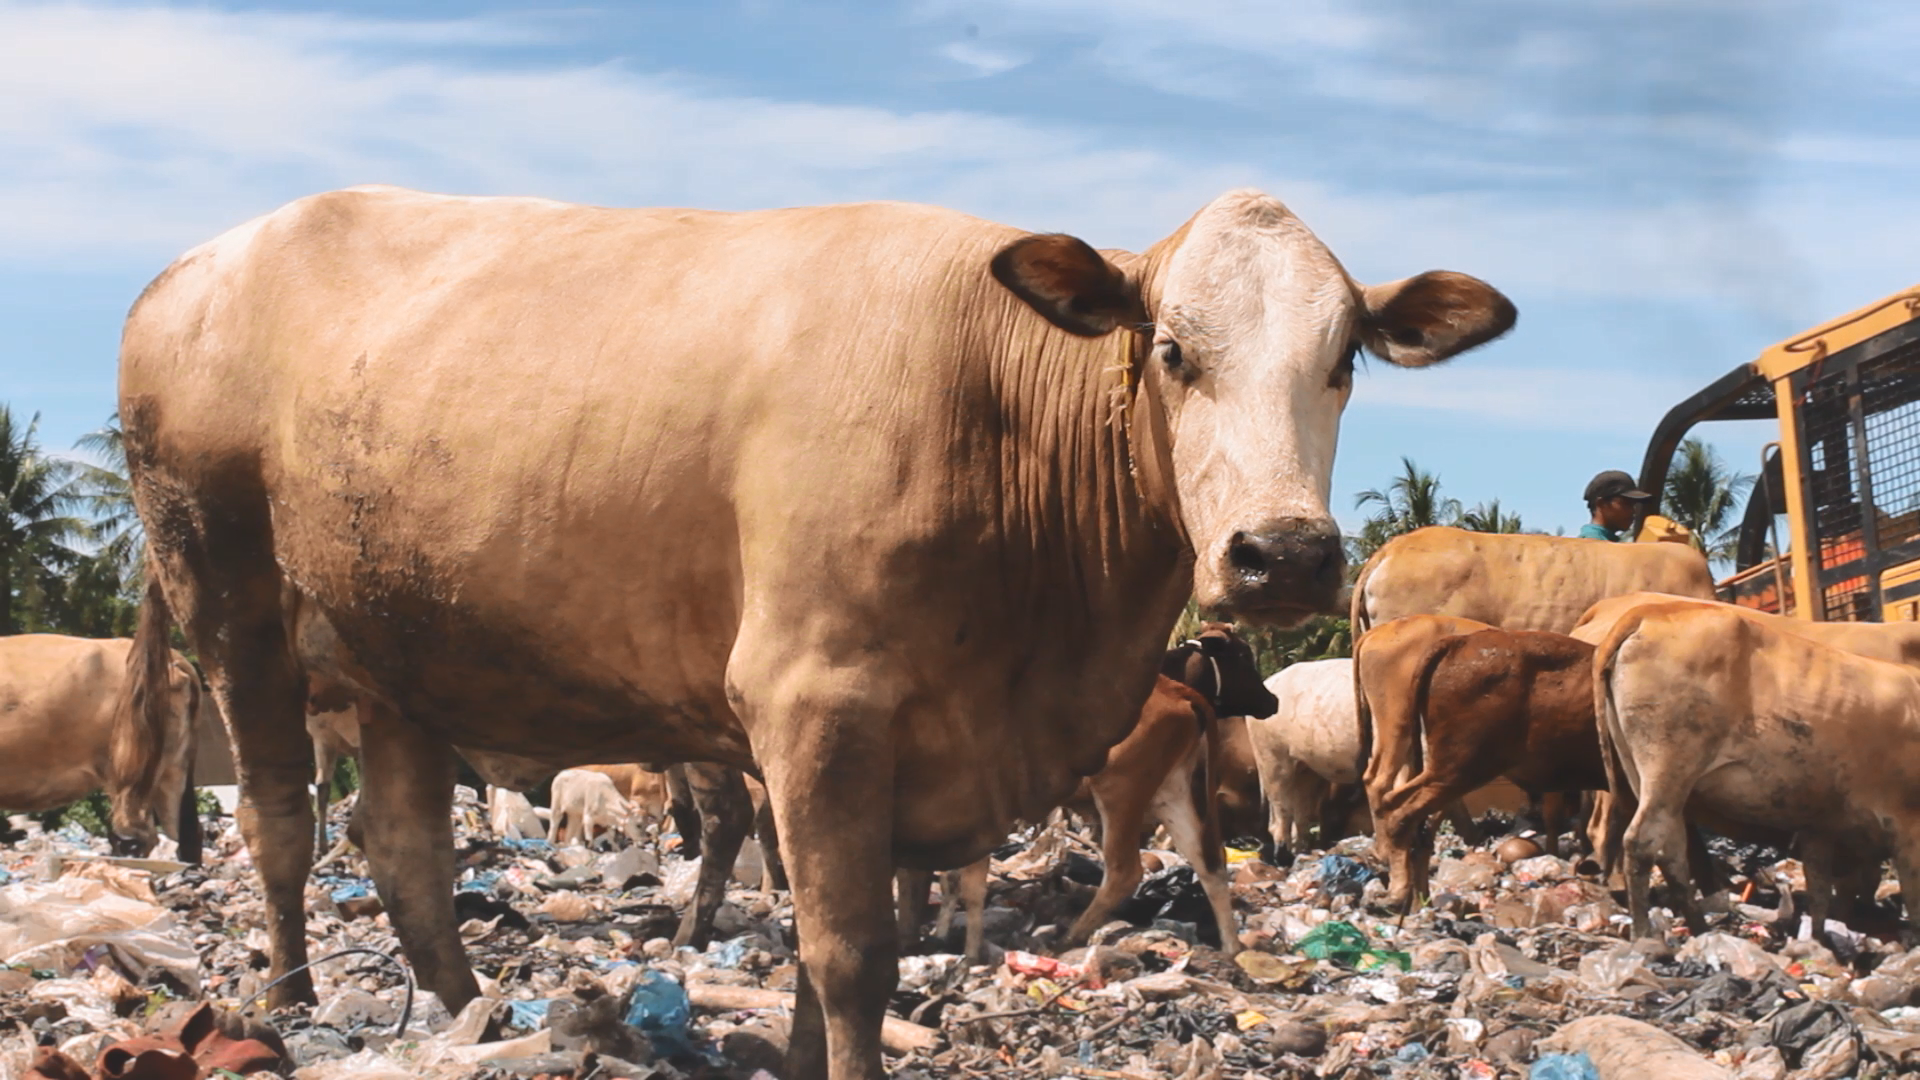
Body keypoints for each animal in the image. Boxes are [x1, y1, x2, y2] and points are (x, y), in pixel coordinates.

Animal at [116, 185, 1512, 1080]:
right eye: (1171, 351)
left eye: (1345, 357)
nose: (1285, 552)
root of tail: (191, 268)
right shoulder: (815, 705)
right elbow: (848, 957)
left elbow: (817, 952)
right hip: (228, 599)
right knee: (281, 823)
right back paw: (290, 1000)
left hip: (401, 647)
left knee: (402, 848)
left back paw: (480, 1022)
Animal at [1596, 603, 1920, 942]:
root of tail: (1650, 610)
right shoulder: (1906, 821)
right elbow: (1911, 891)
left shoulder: (1820, 824)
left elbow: (1821, 892)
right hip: (1668, 765)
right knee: (1642, 841)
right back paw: (1643, 934)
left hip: (1646, 776)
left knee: (1670, 848)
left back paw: (1699, 928)